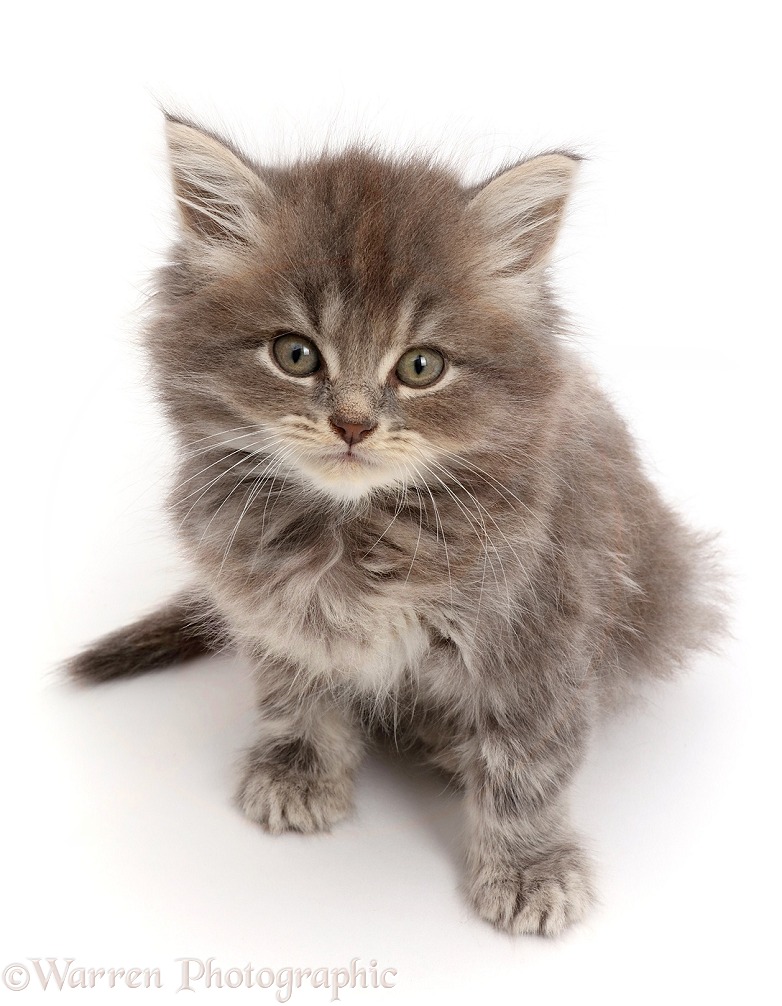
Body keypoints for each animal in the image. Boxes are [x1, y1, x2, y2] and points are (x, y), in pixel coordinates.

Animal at [69, 114, 724, 937]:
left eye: (420, 367)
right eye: (295, 354)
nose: (352, 424)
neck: (354, 532)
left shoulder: (543, 630)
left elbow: (527, 763)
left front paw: (530, 868)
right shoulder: (274, 608)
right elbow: (296, 694)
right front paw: (300, 769)